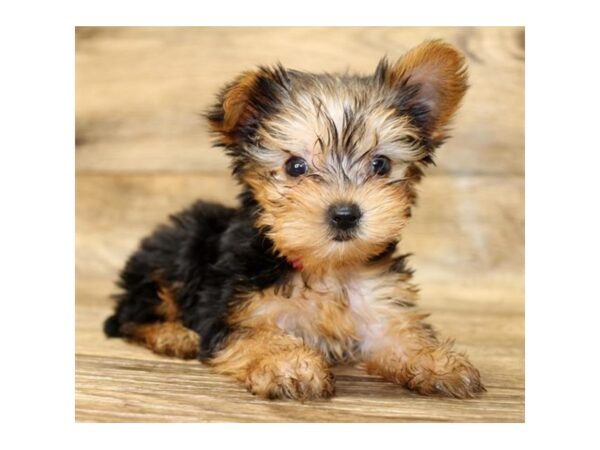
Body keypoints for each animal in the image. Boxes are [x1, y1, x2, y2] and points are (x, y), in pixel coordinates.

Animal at [103, 40, 486, 400]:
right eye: (295, 166)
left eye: (381, 165)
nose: (344, 214)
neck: (326, 267)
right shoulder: (230, 308)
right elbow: (257, 335)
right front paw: (289, 364)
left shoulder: (381, 303)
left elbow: (400, 334)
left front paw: (437, 362)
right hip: (175, 255)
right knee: (129, 314)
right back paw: (173, 334)